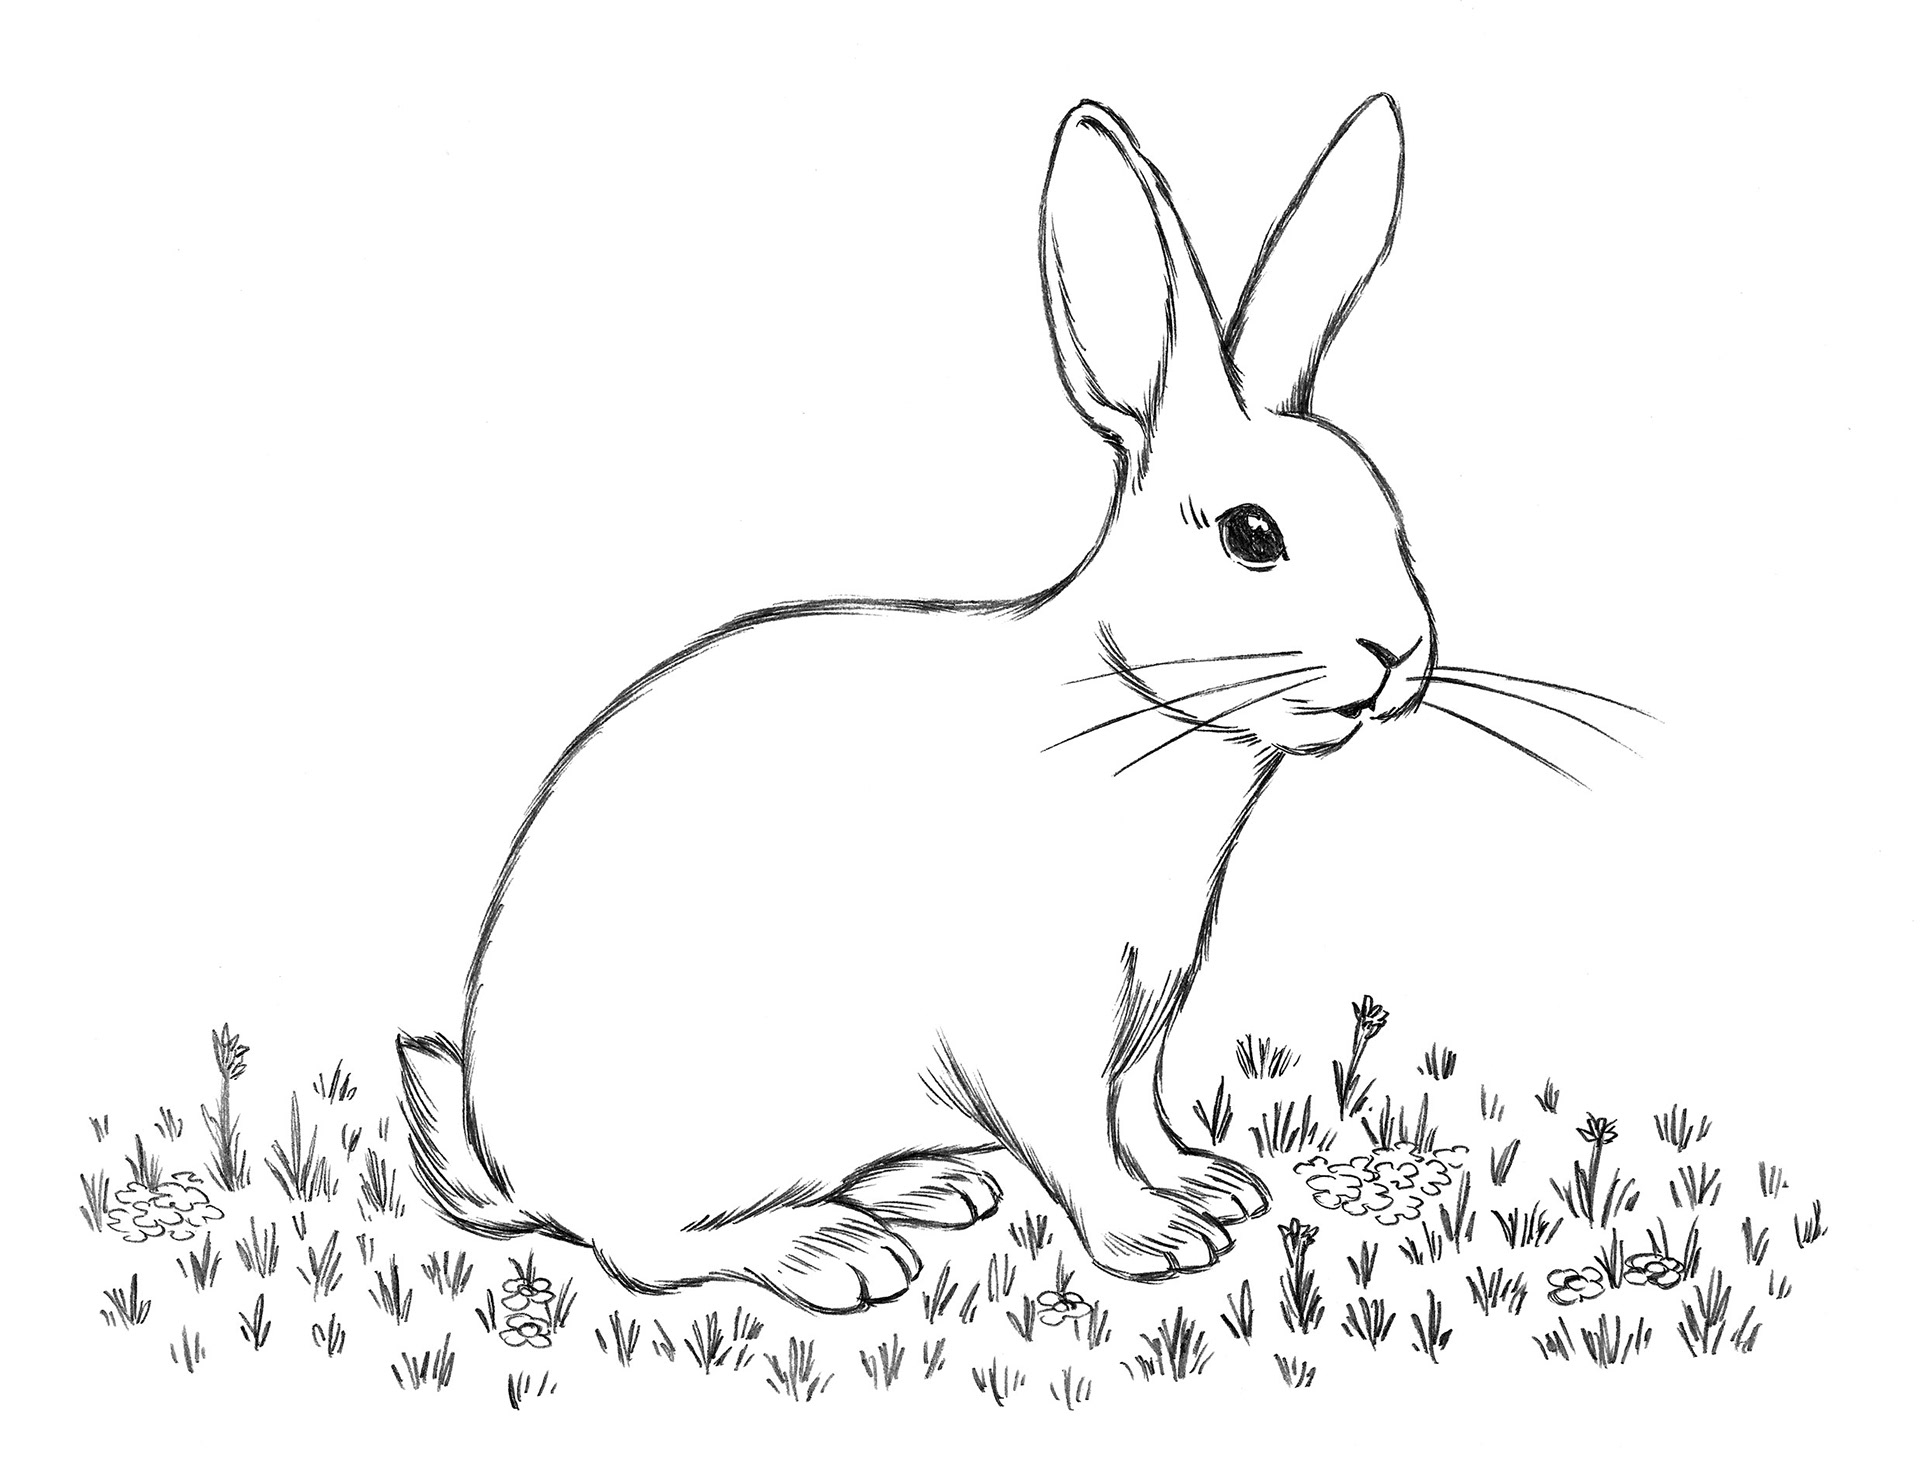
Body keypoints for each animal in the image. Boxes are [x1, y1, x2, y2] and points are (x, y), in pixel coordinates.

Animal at [399, 94, 1436, 1313]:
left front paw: (1211, 1184)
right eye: (1252, 535)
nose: (1402, 651)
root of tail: (512, 1166)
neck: (1131, 712)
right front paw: (1159, 1237)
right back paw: (837, 1250)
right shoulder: (1033, 1026)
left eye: (1392, 517)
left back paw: (931, 1187)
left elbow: (1140, 1114)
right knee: (645, 1247)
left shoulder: (1145, 1018)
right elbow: (1078, 1142)